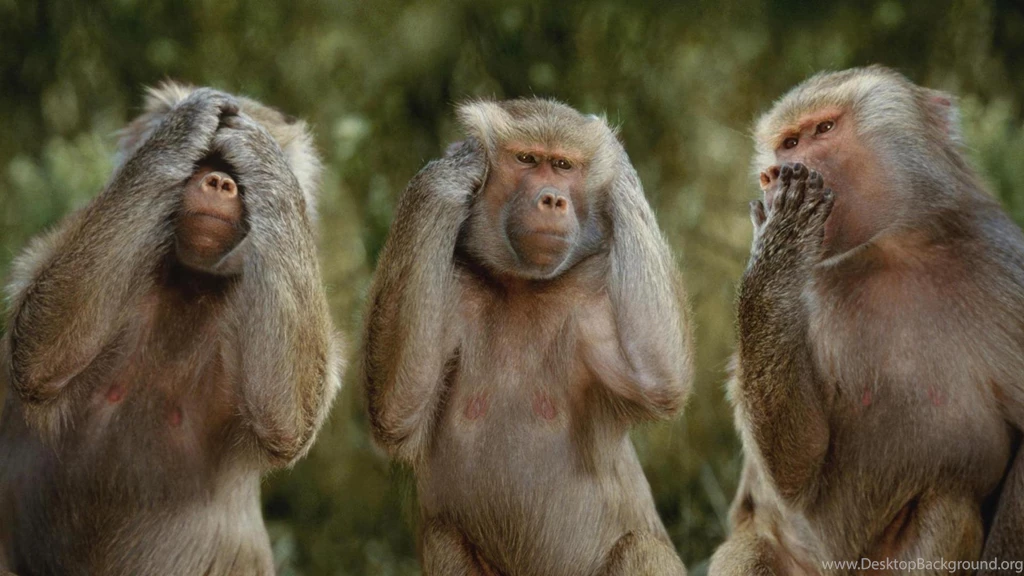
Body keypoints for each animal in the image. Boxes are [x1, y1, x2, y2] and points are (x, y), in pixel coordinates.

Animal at [0, 83, 343, 575]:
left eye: (235, 171)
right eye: (204, 161)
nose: (219, 182)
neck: (189, 281)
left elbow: (286, 419)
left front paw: (260, 149)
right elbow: (38, 353)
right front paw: (187, 122)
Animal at [361, 98, 694, 576]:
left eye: (563, 165)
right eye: (527, 159)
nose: (552, 199)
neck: (521, 286)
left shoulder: (591, 297)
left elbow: (660, 379)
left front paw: (619, 167)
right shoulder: (453, 286)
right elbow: (396, 411)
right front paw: (454, 169)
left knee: (642, 549)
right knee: (444, 538)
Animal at [708, 66, 1024, 575]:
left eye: (823, 130)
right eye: (787, 142)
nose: (771, 174)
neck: (891, 252)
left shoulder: (1001, 264)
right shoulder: (810, 290)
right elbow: (797, 471)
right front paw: (778, 241)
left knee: (948, 507)